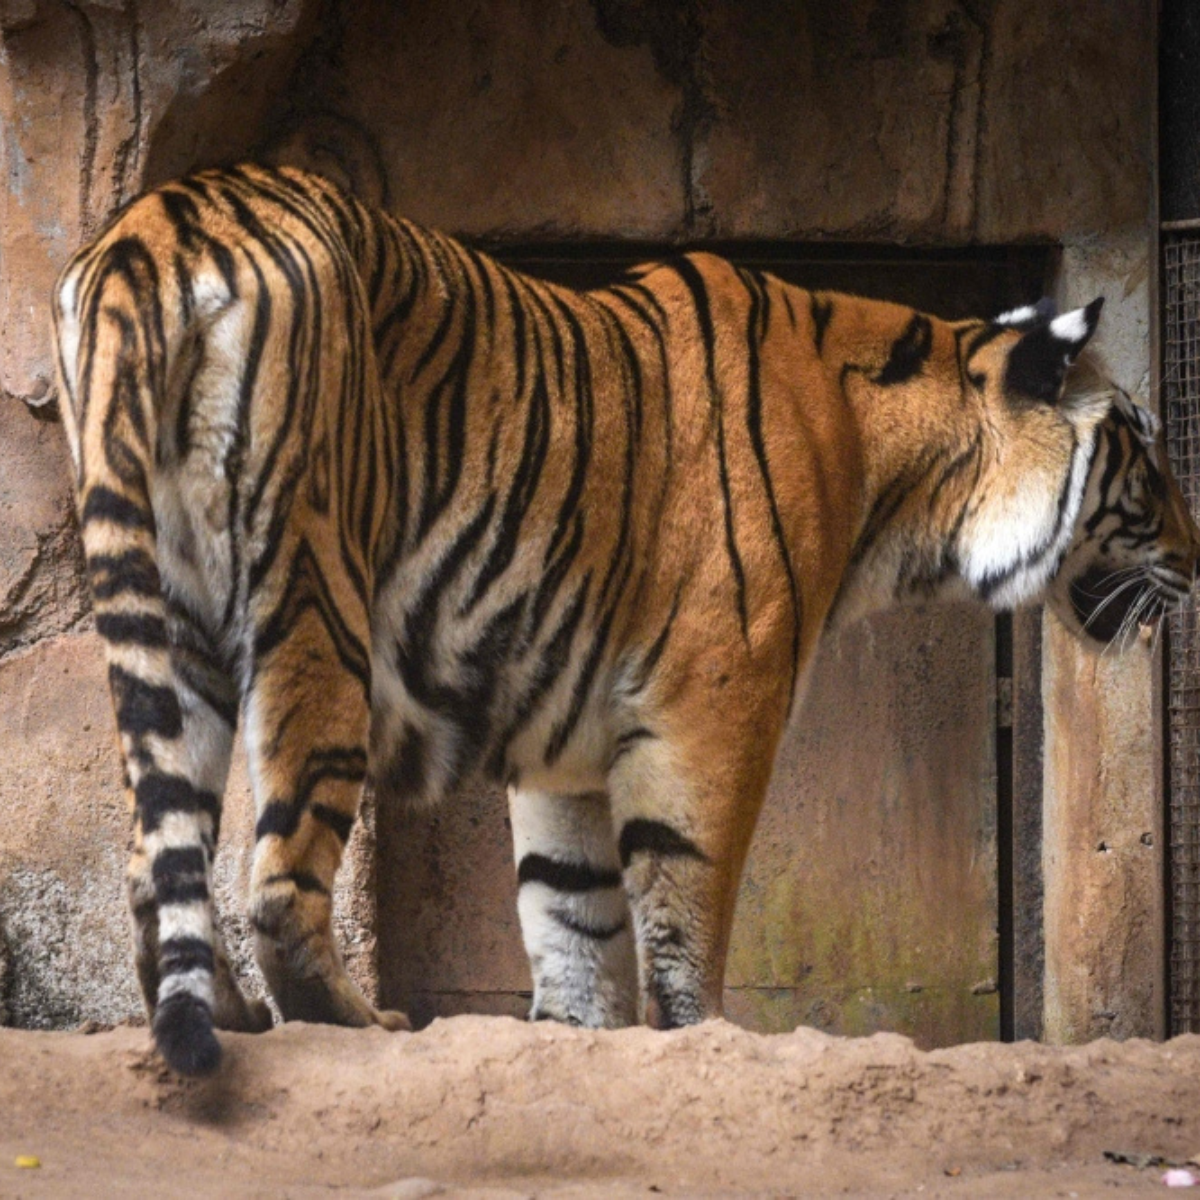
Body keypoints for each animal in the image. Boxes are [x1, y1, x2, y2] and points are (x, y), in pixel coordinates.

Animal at [50, 163, 1200, 1076]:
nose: (1195, 562)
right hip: (315, 598)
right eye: (1147, 446)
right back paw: (353, 1023)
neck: (901, 483)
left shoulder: (564, 733)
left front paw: (573, 1037)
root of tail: (157, 223)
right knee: (279, 887)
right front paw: (699, 1038)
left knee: (153, 863)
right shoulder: (716, 703)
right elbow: (685, 900)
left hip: (174, 623)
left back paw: (229, 1014)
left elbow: (569, 909)